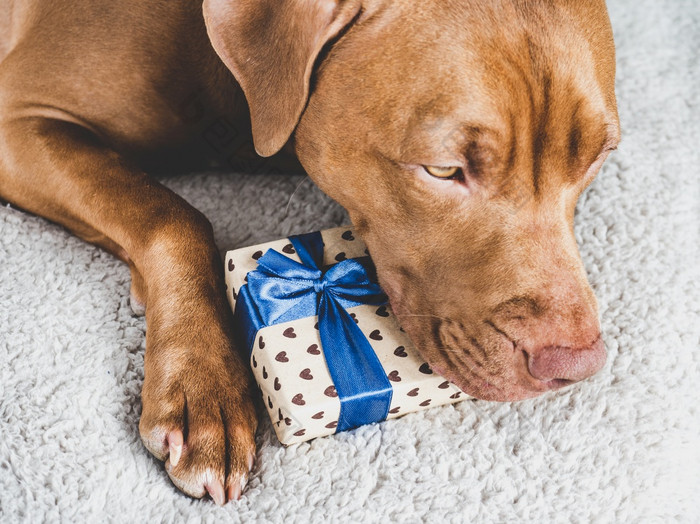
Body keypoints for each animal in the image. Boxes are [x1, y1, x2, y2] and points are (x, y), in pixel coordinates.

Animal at [0, 1, 616, 504]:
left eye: (595, 160)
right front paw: (204, 389)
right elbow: (171, 214)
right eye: (443, 169)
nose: (574, 366)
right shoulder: (17, 121)